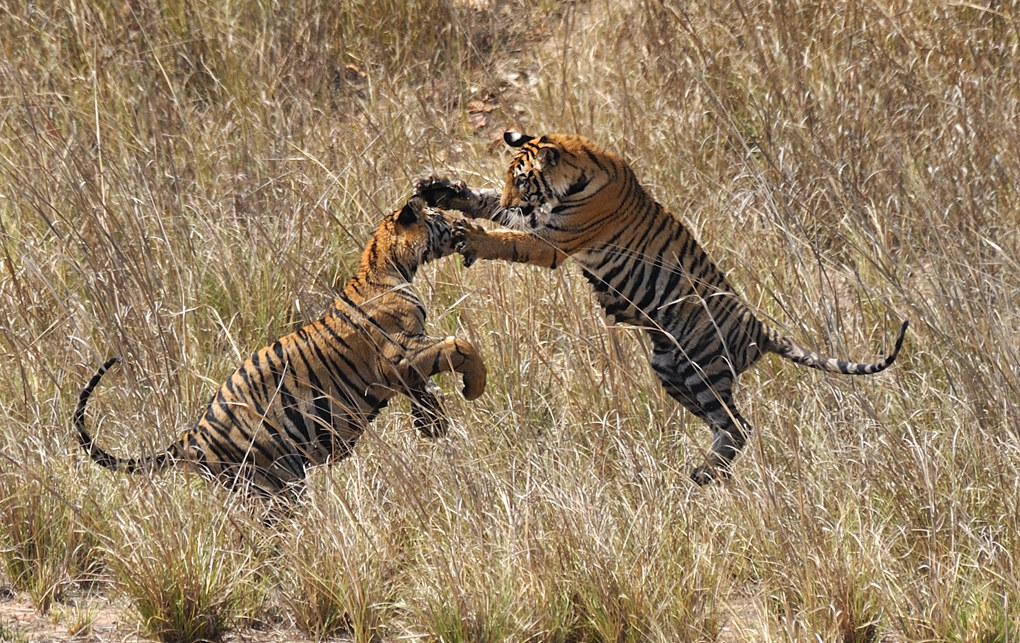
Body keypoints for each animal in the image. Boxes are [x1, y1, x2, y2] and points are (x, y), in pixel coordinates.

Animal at [74, 197, 486, 499]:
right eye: (440, 215)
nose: (460, 222)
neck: (387, 264)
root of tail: (193, 435)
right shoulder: (397, 354)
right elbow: (461, 346)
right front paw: (473, 388)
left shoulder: (406, 364)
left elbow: (427, 386)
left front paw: (432, 424)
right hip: (275, 481)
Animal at [416, 132, 907, 484]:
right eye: (508, 179)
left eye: (521, 180)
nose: (511, 197)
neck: (579, 167)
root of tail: (760, 330)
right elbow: (488, 206)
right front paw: (441, 191)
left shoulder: (553, 240)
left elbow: (508, 238)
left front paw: (470, 235)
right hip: (670, 368)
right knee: (725, 424)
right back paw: (706, 472)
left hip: (702, 366)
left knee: (738, 426)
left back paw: (704, 475)